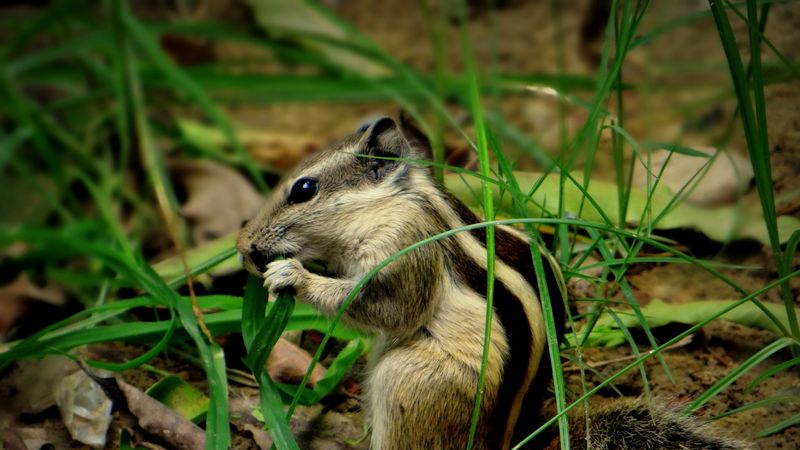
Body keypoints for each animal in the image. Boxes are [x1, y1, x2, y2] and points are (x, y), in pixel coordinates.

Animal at [237, 116, 746, 450]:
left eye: (304, 189)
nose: (244, 246)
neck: (399, 200)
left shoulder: (404, 248)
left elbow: (387, 309)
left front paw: (290, 274)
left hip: (406, 382)